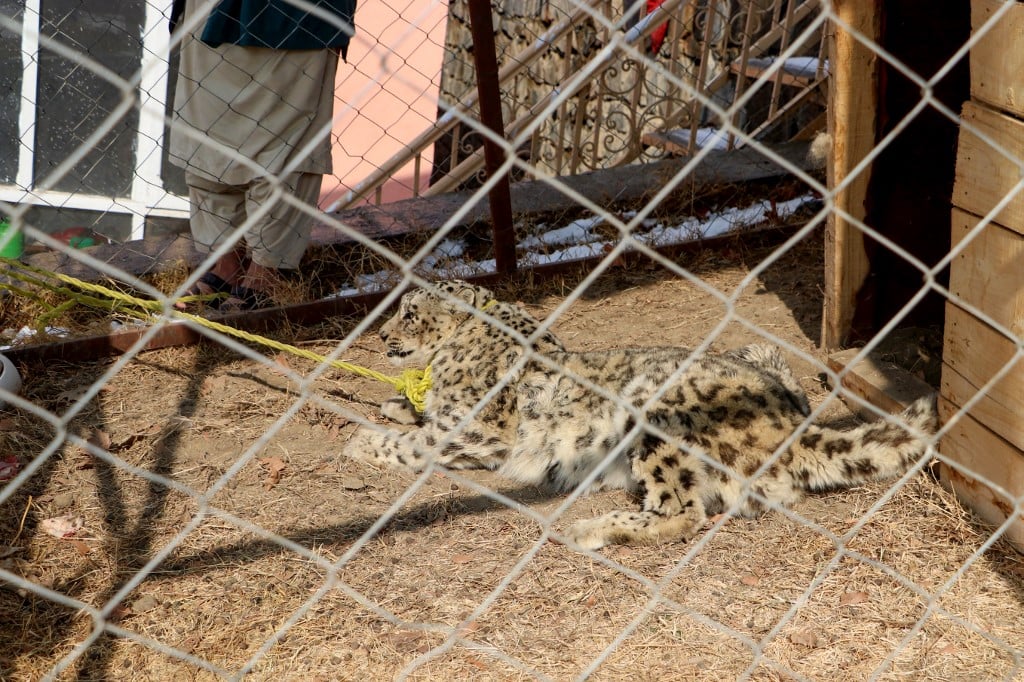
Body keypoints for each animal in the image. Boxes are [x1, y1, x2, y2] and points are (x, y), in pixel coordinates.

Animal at [343, 280, 938, 550]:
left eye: (408, 313)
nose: (382, 337)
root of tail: (788, 426)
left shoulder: (477, 431)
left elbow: (416, 443)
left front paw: (361, 441)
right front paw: (393, 403)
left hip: (657, 418)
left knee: (681, 510)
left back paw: (587, 528)